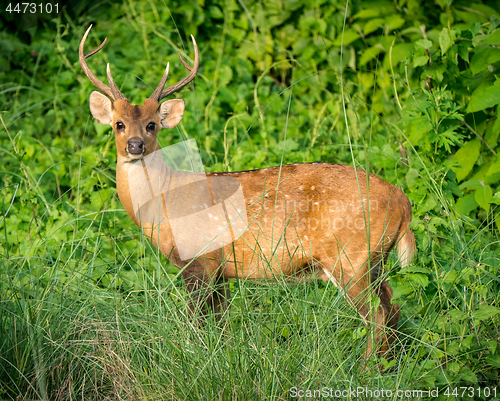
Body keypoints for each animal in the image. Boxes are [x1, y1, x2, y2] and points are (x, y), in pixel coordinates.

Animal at [79, 26, 414, 360]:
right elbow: (221, 324)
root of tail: (403, 202)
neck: (165, 200)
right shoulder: (221, 271)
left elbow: (197, 323)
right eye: (118, 124)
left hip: (351, 257)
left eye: (151, 124)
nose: (135, 145)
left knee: (378, 314)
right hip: (374, 260)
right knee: (393, 306)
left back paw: (365, 366)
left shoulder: (200, 260)